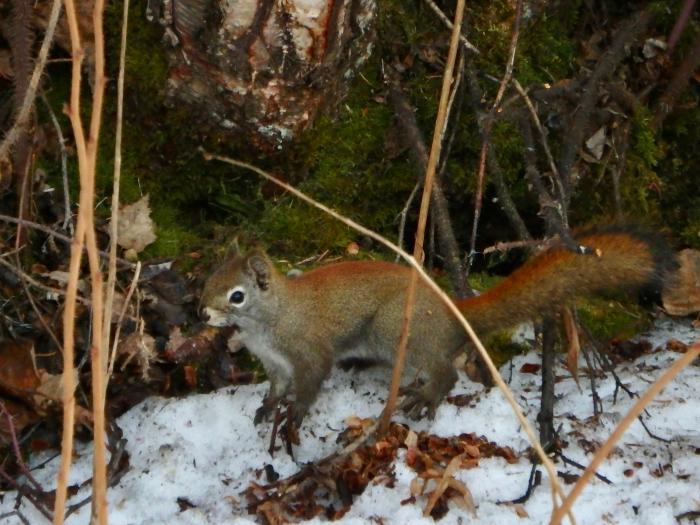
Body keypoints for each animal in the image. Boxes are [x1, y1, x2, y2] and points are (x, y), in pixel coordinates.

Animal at [200, 227, 676, 424]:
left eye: (237, 295)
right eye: (208, 279)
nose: (202, 313)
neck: (269, 320)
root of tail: (452, 311)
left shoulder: (306, 349)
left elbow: (311, 380)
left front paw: (296, 412)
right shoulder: (275, 363)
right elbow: (276, 387)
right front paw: (267, 406)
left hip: (396, 328)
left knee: (445, 371)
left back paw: (427, 395)